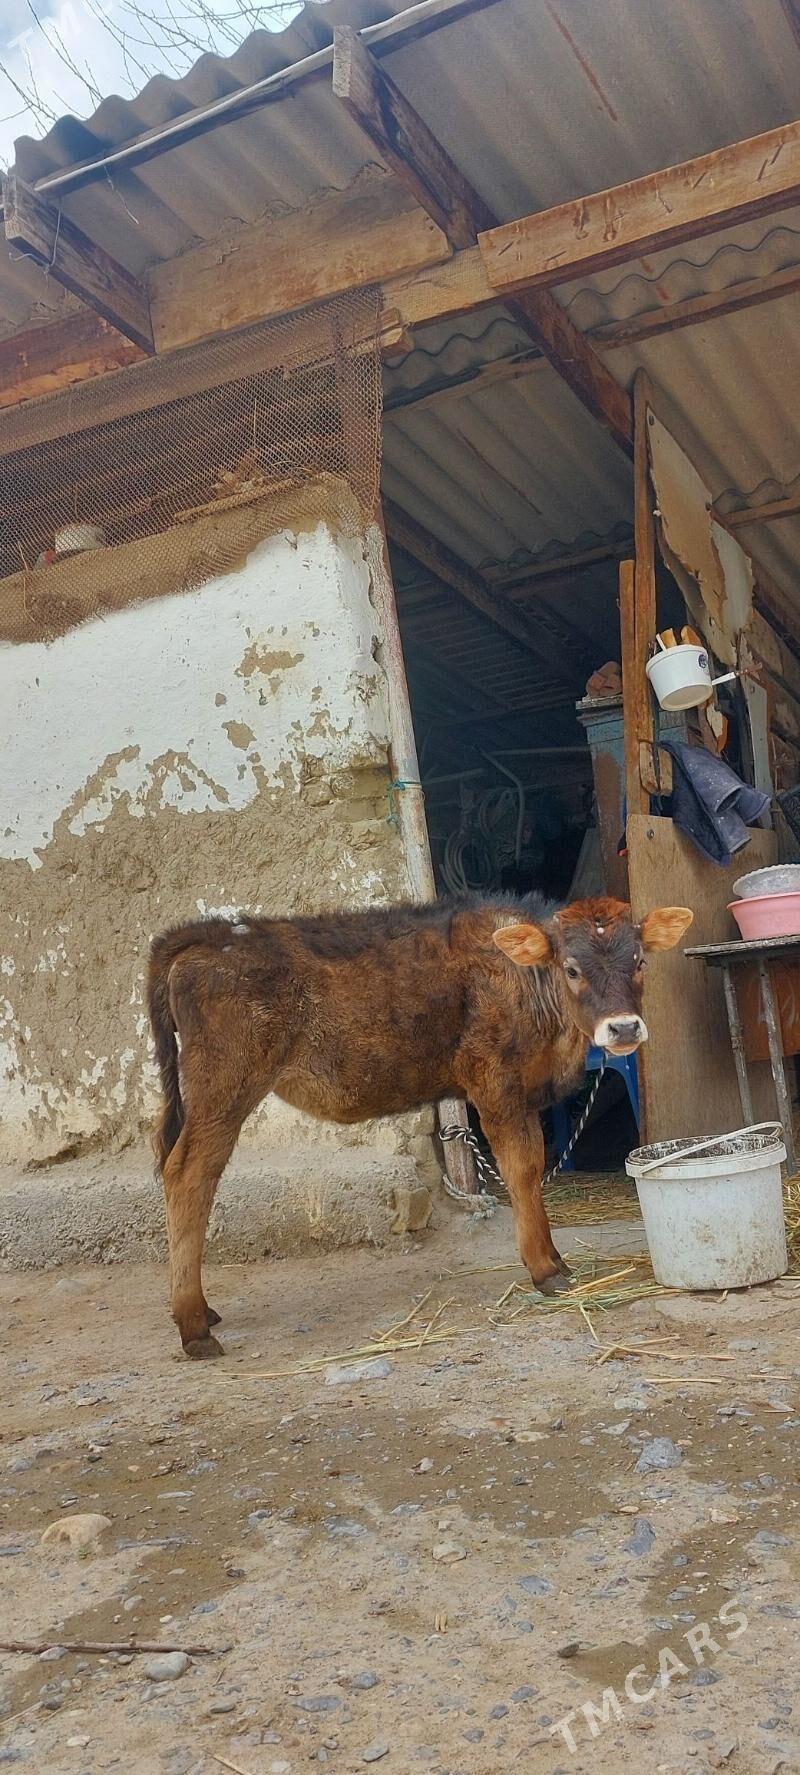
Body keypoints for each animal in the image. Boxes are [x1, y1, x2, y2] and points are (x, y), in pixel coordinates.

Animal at [147, 893, 692, 1358]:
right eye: (572, 968)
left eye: (640, 962)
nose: (623, 1028)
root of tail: (204, 935)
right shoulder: (494, 1083)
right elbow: (522, 1168)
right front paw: (545, 1270)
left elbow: (533, 1167)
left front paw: (555, 1260)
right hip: (225, 1086)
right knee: (188, 1175)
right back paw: (193, 1326)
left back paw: (203, 1313)